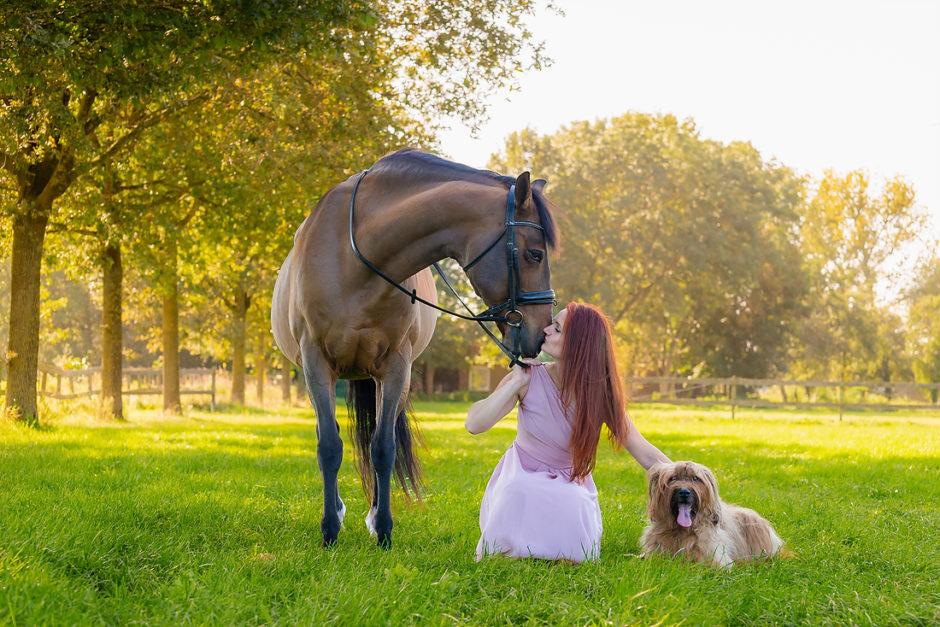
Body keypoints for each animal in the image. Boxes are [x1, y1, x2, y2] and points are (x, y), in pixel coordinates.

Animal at [268, 148, 556, 548]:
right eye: (534, 254)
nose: (542, 332)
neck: (355, 258)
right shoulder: (315, 363)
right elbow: (329, 447)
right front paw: (329, 532)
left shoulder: (395, 367)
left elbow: (383, 449)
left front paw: (383, 530)